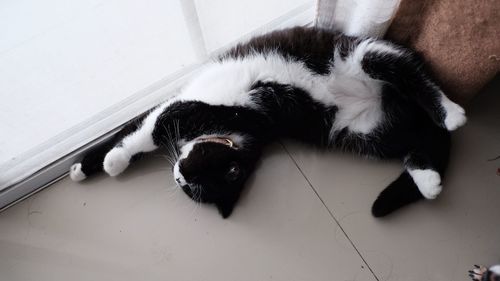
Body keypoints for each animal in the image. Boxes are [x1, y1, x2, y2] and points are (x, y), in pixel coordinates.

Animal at [68, 26, 466, 218]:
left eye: (194, 180)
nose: (178, 175)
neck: (240, 131)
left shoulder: (189, 107)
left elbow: (143, 132)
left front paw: (112, 162)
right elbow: (134, 128)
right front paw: (81, 168)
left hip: (365, 55)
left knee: (412, 74)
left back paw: (451, 113)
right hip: (366, 133)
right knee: (420, 140)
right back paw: (429, 182)